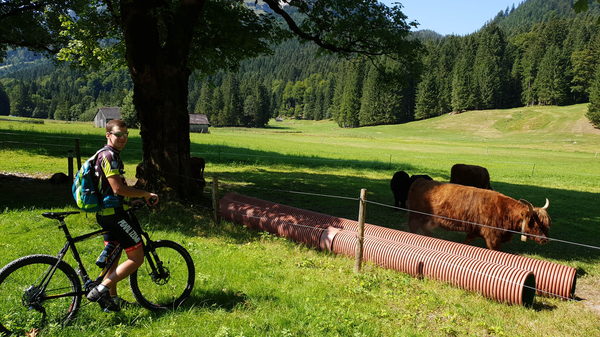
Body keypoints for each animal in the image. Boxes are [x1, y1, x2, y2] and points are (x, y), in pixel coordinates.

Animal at [406, 178, 552, 249]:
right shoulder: (493, 237)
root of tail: (419, 181)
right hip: (416, 216)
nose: (545, 239)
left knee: (424, 228)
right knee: (414, 227)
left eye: (547, 225)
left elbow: (466, 241)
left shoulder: (474, 231)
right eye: (536, 224)